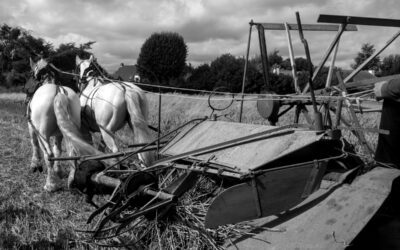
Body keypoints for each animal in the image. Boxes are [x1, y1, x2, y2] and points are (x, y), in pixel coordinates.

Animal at [27, 57, 81, 191]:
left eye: (32, 73)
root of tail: (59, 90)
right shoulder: (59, 134)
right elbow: (58, 151)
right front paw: (58, 171)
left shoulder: (31, 127)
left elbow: (34, 144)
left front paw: (35, 164)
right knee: (72, 153)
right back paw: (71, 181)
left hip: (42, 134)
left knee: (49, 155)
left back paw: (50, 185)